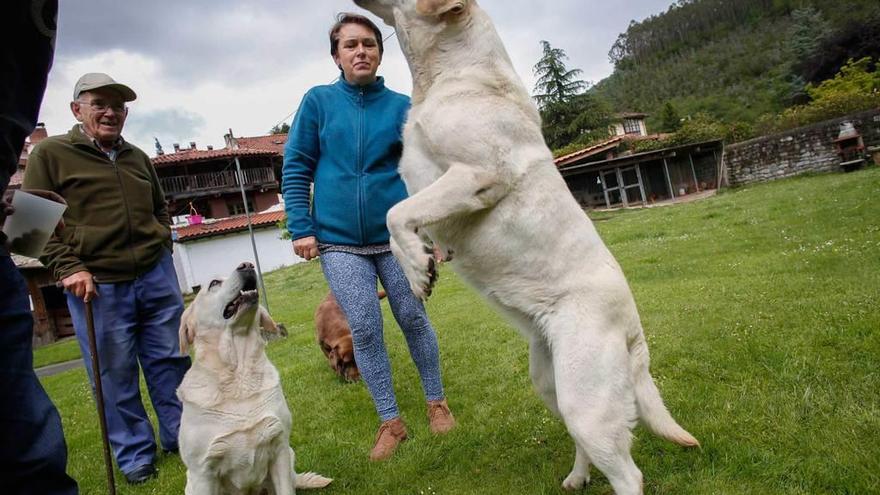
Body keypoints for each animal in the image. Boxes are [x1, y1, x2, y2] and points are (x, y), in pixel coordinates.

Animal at [177, 262, 332, 494]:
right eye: (214, 283)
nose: (247, 265)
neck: (239, 374)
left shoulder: (279, 446)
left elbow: (286, 488)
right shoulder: (202, 473)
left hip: (290, 454)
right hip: (191, 483)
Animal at [350, 1, 700, 494]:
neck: (447, 74)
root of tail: (634, 329)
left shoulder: (478, 175)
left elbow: (395, 213)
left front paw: (418, 269)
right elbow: (399, 216)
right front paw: (422, 261)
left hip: (585, 400)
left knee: (627, 472)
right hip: (548, 382)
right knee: (582, 443)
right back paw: (576, 477)